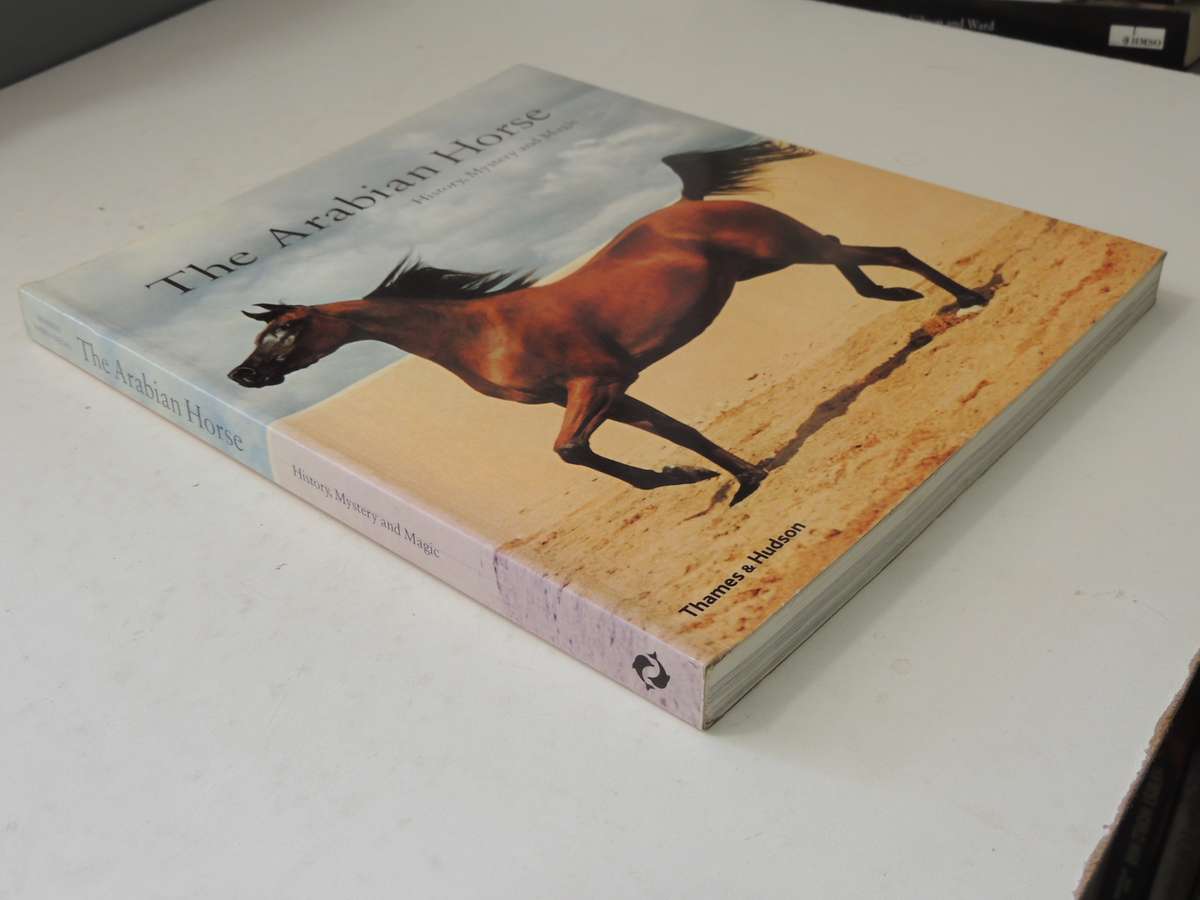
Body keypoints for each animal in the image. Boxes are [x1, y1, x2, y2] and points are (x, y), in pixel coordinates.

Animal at [229, 141, 984, 505]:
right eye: (261, 337)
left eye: (284, 332)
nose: (243, 375)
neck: (481, 332)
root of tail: (692, 203)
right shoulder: (610, 392)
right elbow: (675, 431)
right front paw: (738, 479)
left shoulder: (596, 385)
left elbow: (570, 451)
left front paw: (681, 480)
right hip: (771, 262)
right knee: (855, 256)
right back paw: (903, 300)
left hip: (787, 249)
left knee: (874, 249)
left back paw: (967, 297)